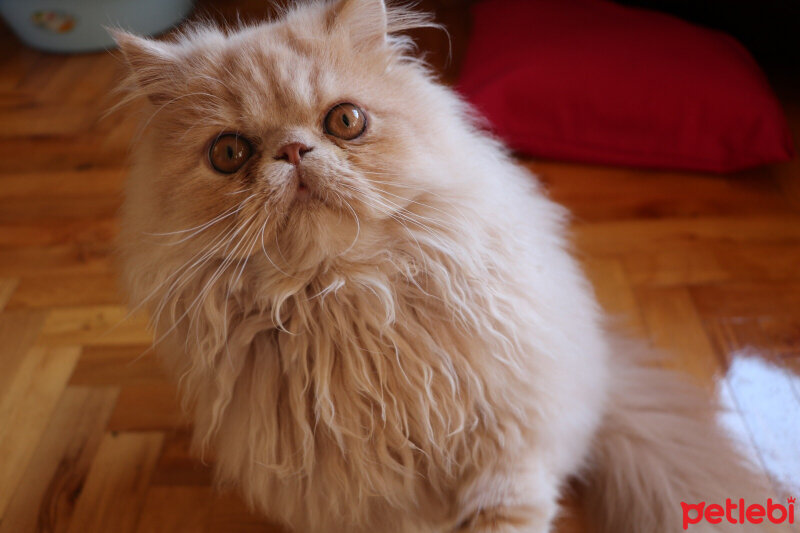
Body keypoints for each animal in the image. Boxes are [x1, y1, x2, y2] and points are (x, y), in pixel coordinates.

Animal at [115, 1, 780, 532]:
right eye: (229, 153)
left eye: (344, 121)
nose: (294, 150)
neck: (341, 302)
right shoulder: (369, 504)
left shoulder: (507, 459)